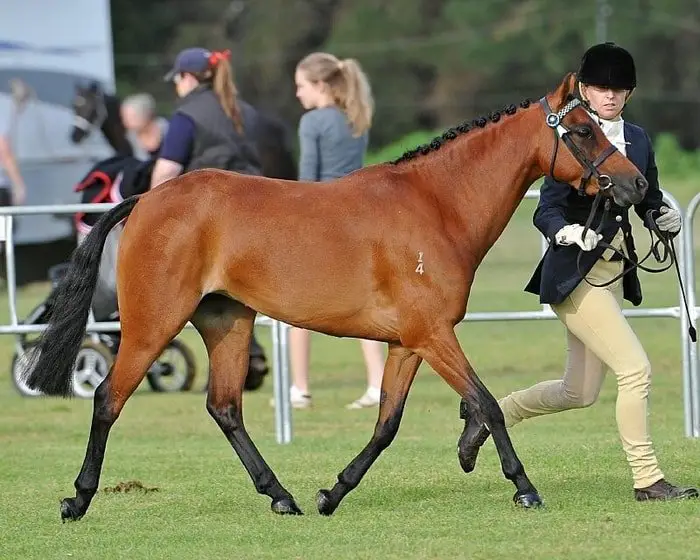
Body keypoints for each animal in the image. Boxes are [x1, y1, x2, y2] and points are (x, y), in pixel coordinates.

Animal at [23, 73, 644, 520]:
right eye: (582, 131)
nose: (636, 185)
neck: (436, 205)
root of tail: (147, 200)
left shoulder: (408, 344)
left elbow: (387, 425)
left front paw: (333, 493)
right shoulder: (434, 335)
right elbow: (486, 405)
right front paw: (525, 488)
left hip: (227, 322)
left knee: (225, 407)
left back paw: (282, 496)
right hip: (153, 323)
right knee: (108, 398)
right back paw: (77, 499)